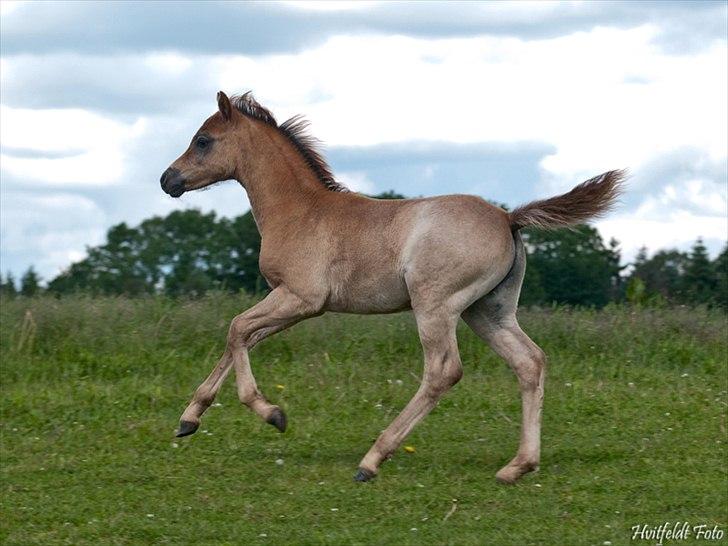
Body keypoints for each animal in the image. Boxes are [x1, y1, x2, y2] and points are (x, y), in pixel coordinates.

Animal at [160, 91, 624, 483]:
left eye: (203, 140)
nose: (168, 180)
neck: (299, 211)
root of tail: (508, 218)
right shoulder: (292, 304)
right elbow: (241, 339)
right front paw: (189, 419)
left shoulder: (301, 298)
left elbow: (237, 328)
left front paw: (272, 414)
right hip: (488, 312)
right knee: (529, 362)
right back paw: (517, 466)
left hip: (435, 306)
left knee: (443, 371)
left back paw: (372, 460)